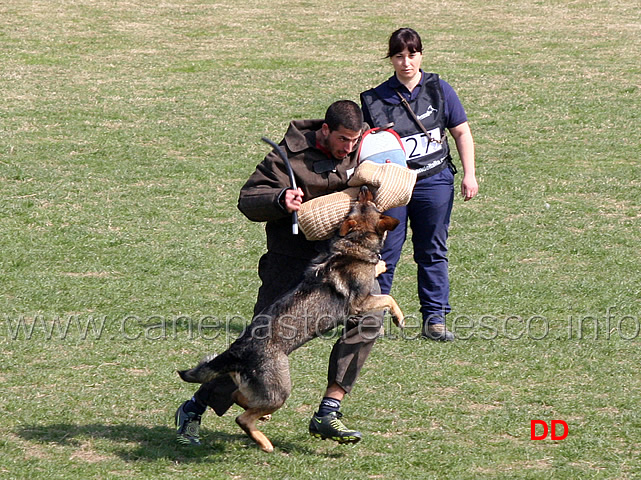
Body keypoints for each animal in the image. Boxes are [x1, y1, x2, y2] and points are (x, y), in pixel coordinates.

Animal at [178, 186, 402, 452]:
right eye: (371, 203)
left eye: (360, 202)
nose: (366, 188)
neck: (354, 242)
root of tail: (237, 351)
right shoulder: (359, 303)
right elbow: (388, 298)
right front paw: (399, 317)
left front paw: (380, 266)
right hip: (281, 390)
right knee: (242, 417)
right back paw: (264, 443)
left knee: (237, 397)